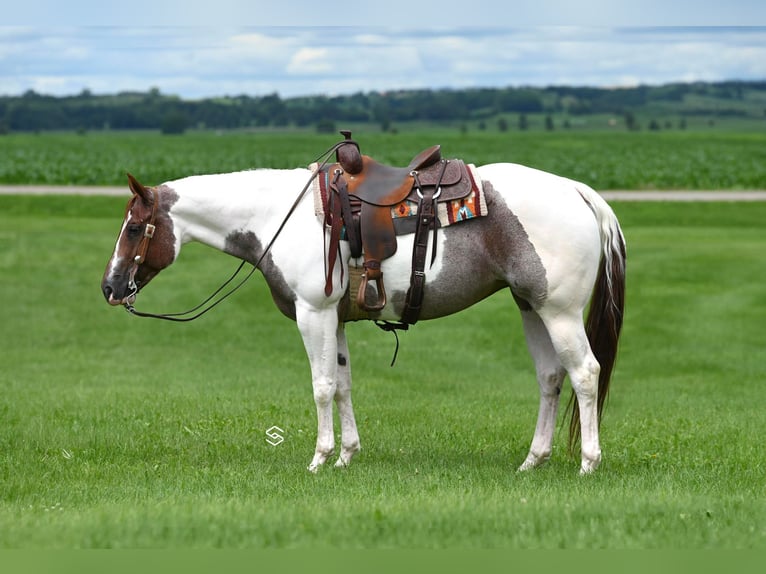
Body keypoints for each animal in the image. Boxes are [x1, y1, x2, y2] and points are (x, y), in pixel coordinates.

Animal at [100, 144, 626, 475]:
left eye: (134, 228)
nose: (110, 286)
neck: (277, 216)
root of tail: (578, 191)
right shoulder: (334, 318)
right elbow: (344, 383)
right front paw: (346, 455)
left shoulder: (313, 313)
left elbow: (321, 386)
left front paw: (319, 458)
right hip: (530, 306)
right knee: (550, 378)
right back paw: (532, 461)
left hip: (559, 312)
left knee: (584, 373)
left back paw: (588, 463)